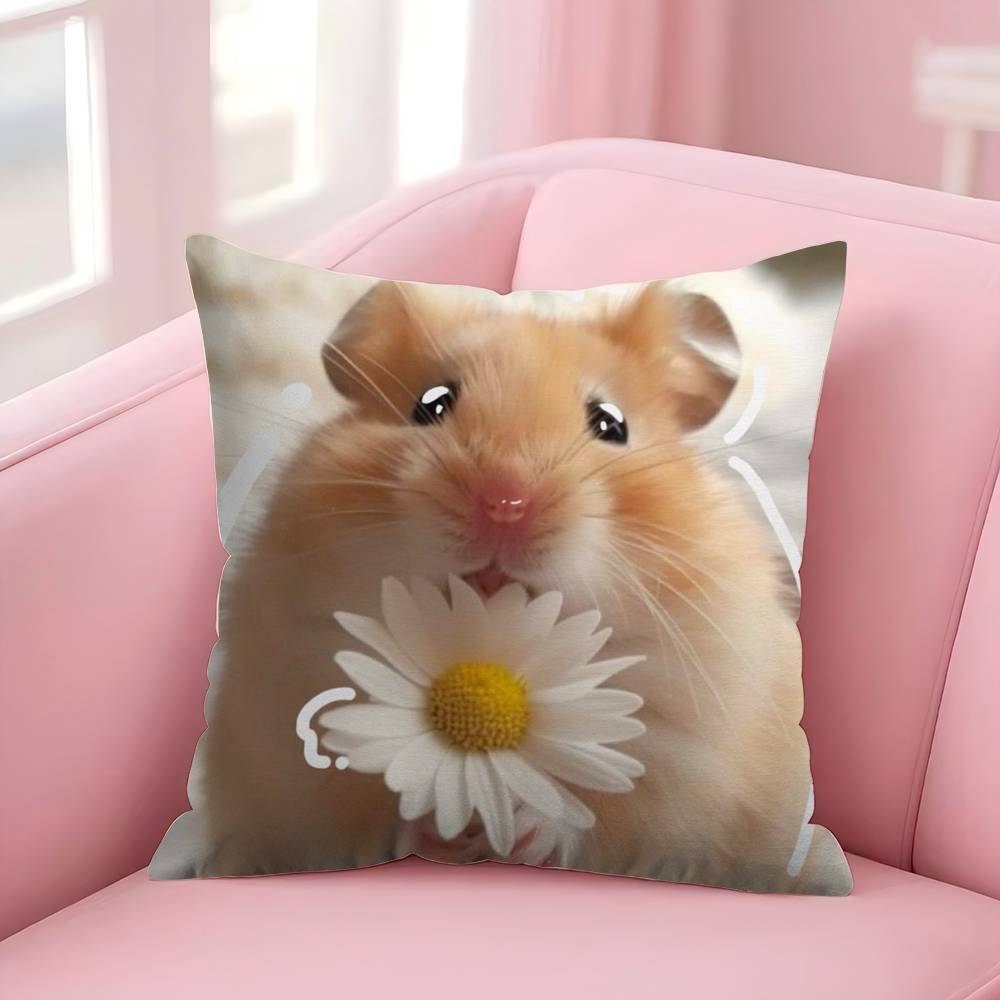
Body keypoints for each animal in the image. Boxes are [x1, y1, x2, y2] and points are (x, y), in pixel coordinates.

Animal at [196, 280, 848, 893]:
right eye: (430, 406)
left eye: (611, 424)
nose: (504, 504)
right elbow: (377, 806)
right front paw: (438, 830)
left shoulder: (682, 755)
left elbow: (597, 814)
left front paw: (523, 828)